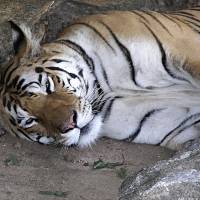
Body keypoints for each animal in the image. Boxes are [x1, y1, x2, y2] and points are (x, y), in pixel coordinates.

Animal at [1, 6, 200, 150]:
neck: (103, 90)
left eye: (47, 87)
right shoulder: (178, 127)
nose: (70, 124)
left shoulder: (186, 48)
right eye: (30, 120)